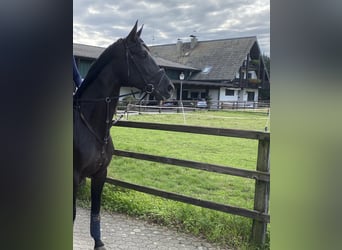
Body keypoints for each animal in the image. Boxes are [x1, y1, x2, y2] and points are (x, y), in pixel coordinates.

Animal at [72, 22, 174, 249]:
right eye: (142, 54)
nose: (169, 88)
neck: (90, 125)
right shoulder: (73, 177)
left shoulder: (100, 174)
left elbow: (96, 212)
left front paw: (99, 242)